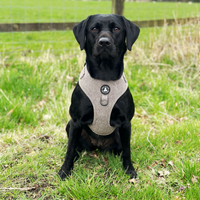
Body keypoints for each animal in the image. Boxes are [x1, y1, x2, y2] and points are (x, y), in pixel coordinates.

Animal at [58, 14, 139, 180]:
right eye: (94, 28)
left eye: (116, 28)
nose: (104, 42)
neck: (104, 79)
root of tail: (97, 145)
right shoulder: (76, 121)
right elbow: (69, 150)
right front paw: (65, 171)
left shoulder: (126, 123)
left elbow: (127, 150)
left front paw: (129, 170)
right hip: (70, 125)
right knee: (75, 147)